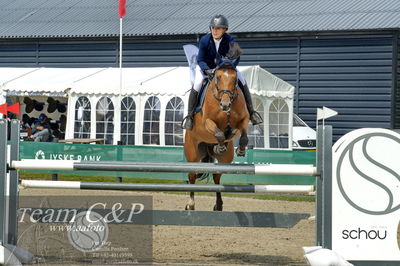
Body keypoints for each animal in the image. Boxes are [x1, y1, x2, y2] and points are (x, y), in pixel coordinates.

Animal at [184, 55, 250, 210]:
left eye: (234, 78)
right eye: (218, 77)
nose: (225, 105)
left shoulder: (244, 119)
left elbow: (242, 134)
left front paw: (239, 147)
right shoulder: (207, 122)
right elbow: (219, 133)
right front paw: (220, 144)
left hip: (225, 159)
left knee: (217, 177)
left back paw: (218, 205)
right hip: (192, 154)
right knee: (192, 176)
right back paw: (190, 204)